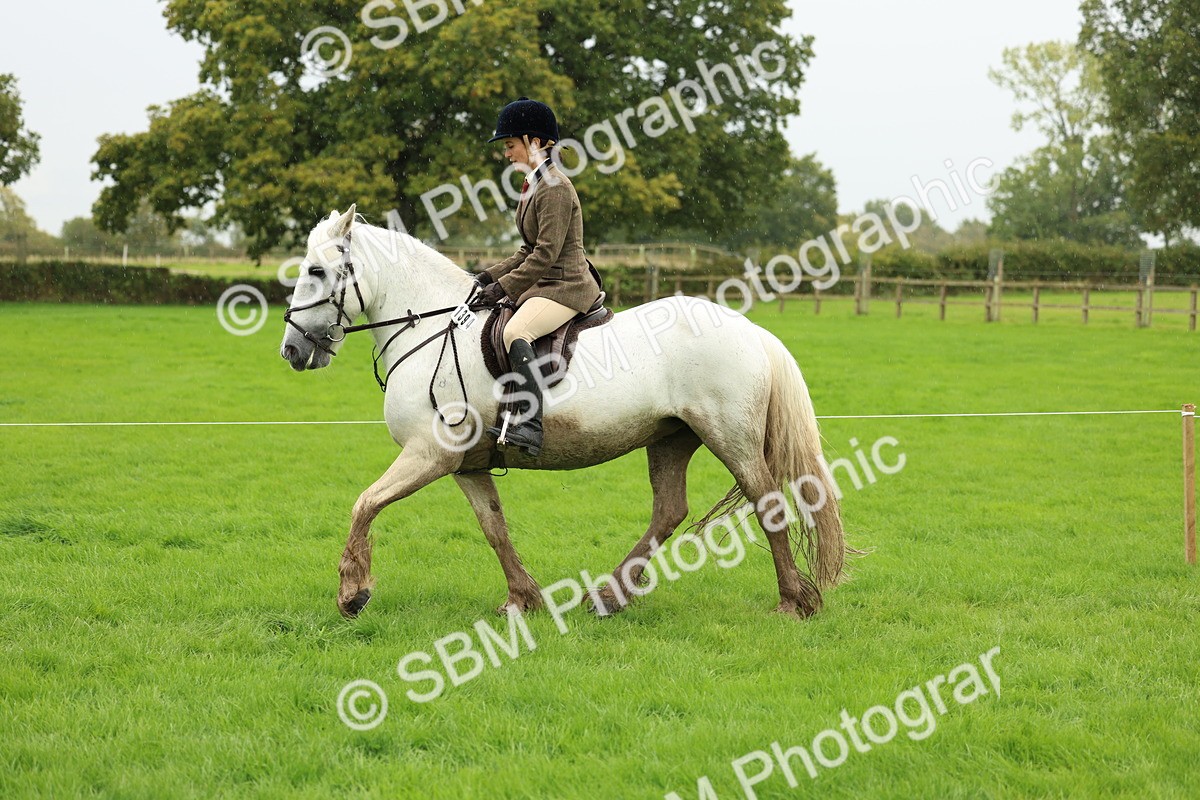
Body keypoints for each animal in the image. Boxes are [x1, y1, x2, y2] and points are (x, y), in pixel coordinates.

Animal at [279, 206, 848, 620]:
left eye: (316, 271)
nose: (292, 349)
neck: (430, 329)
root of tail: (751, 329)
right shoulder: (466, 465)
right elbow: (494, 528)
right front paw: (522, 599)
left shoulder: (429, 455)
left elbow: (364, 504)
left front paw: (352, 593)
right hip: (670, 437)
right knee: (669, 510)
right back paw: (610, 595)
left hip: (729, 435)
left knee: (767, 503)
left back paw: (792, 604)